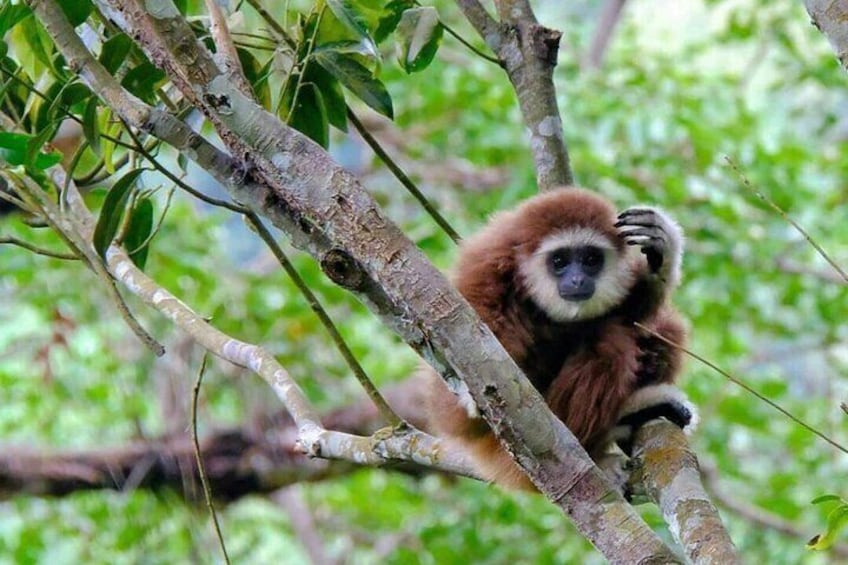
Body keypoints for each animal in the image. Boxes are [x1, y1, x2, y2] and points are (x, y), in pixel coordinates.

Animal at [424, 187, 697, 489]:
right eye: (559, 261)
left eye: (590, 260)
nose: (576, 279)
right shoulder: (487, 273)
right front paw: (469, 397)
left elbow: (632, 310)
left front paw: (664, 254)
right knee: (610, 340)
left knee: (660, 325)